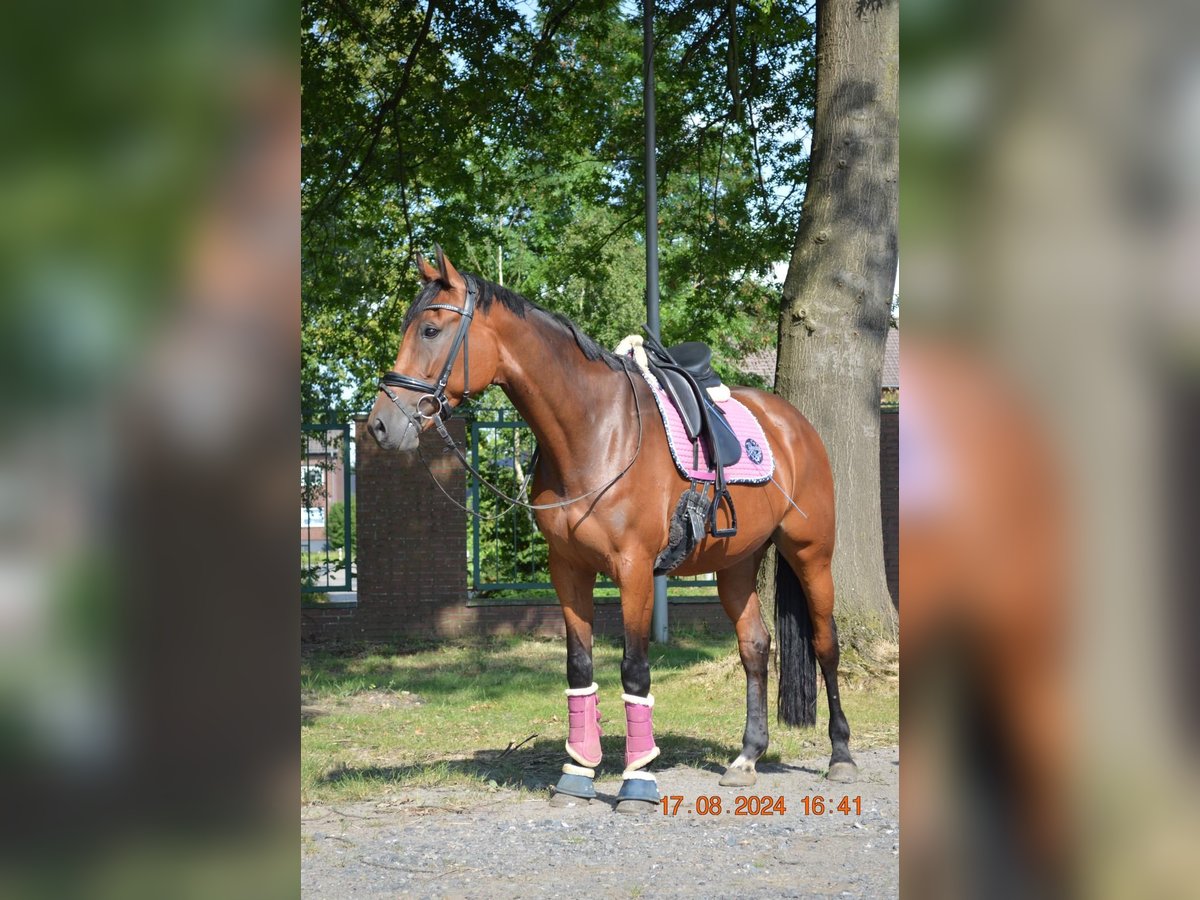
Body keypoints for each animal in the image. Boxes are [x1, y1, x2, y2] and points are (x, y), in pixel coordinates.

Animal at [364, 247, 854, 811]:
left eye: (430, 329)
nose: (380, 424)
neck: (595, 431)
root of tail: (795, 423)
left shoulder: (634, 570)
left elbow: (634, 670)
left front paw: (637, 781)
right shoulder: (568, 570)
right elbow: (579, 667)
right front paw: (576, 774)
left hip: (811, 553)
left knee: (825, 643)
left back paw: (841, 756)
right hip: (735, 563)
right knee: (755, 645)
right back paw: (747, 757)